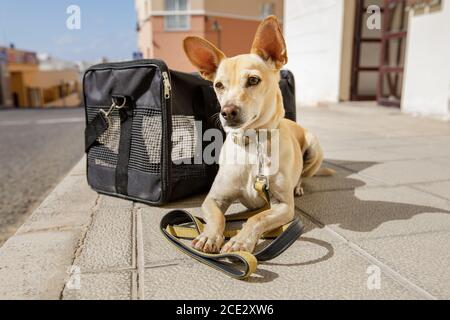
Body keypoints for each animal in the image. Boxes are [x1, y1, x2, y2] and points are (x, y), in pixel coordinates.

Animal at [182, 15, 326, 255]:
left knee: (304, 175)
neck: (252, 145)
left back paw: (298, 186)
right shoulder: (213, 199)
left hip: (314, 148)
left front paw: (240, 241)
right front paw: (209, 235)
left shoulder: (283, 205)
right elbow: (217, 217)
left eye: (253, 80)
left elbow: (256, 219)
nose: (227, 112)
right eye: (218, 85)